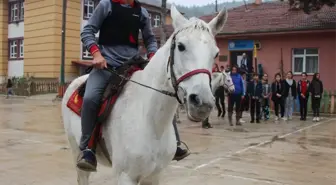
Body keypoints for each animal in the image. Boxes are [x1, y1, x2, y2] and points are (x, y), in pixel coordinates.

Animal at [61, 5, 228, 185]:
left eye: (216, 53)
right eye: (181, 46)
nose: (202, 103)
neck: (150, 119)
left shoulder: (154, 176)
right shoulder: (125, 176)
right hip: (76, 152)